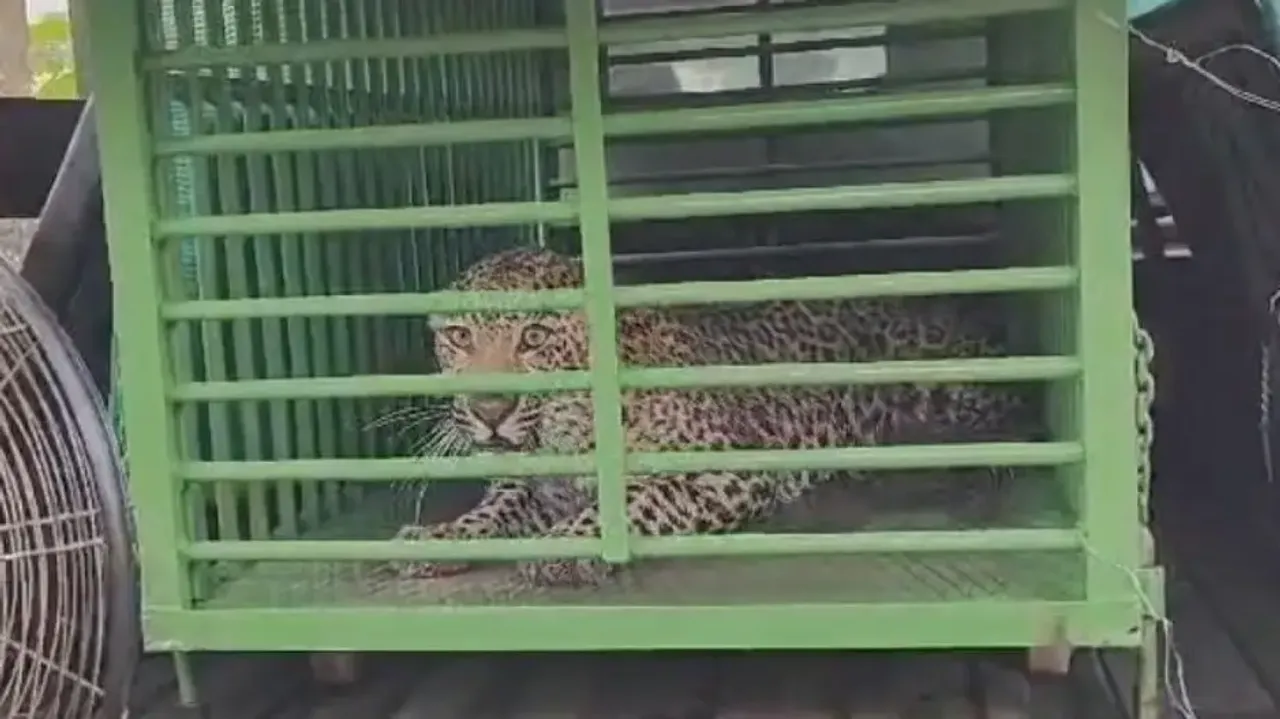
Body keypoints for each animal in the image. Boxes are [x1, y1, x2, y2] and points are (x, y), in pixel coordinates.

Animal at [390, 246, 1032, 587]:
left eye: (535, 337)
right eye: (460, 337)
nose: (489, 409)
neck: (564, 434)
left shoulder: (727, 471)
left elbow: (636, 502)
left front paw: (569, 545)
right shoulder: (530, 488)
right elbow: (493, 512)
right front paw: (440, 536)